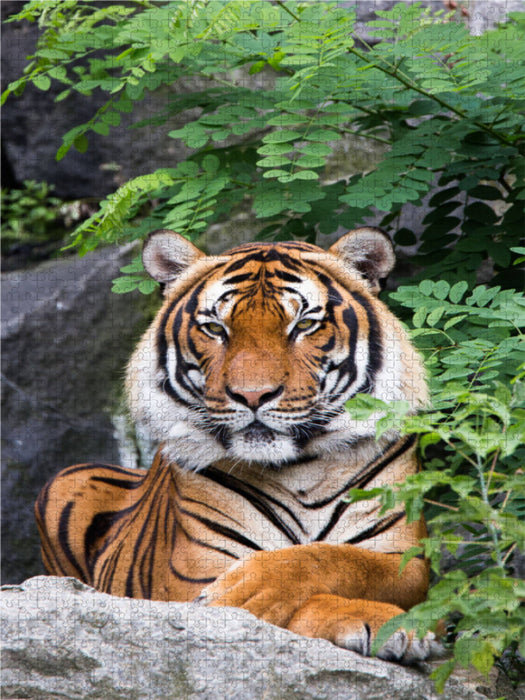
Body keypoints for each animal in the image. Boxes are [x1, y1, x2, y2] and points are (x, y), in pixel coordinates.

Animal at [36, 227, 435, 662]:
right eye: (215, 329)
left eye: (303, 325)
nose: (253, 395)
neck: (300, 471)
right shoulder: (194, 577)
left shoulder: (406, 557)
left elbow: (334, 560)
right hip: (62, 483)